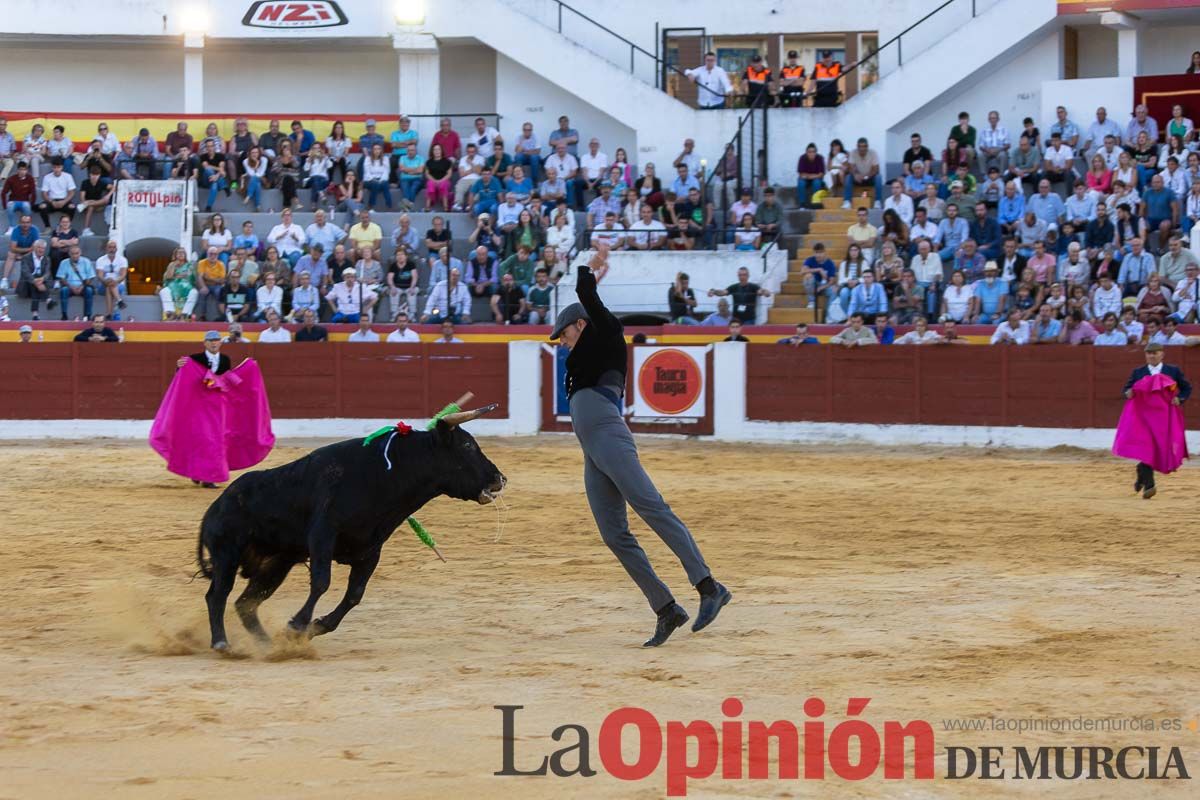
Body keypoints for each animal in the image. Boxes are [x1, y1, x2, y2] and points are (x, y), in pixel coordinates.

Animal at [195, 412, 501, 652]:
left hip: (276, 564)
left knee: (245, 603)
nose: (500, 478)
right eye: (467, 445)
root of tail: (214, 508)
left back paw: (267, 644)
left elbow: (355, 594)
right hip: (227, 554)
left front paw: (315, 626)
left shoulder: (370, 550)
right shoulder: (322, 536)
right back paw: (221, 643)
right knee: (218, 594)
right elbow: (322, 582)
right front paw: (297, 625)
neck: (388, 474)